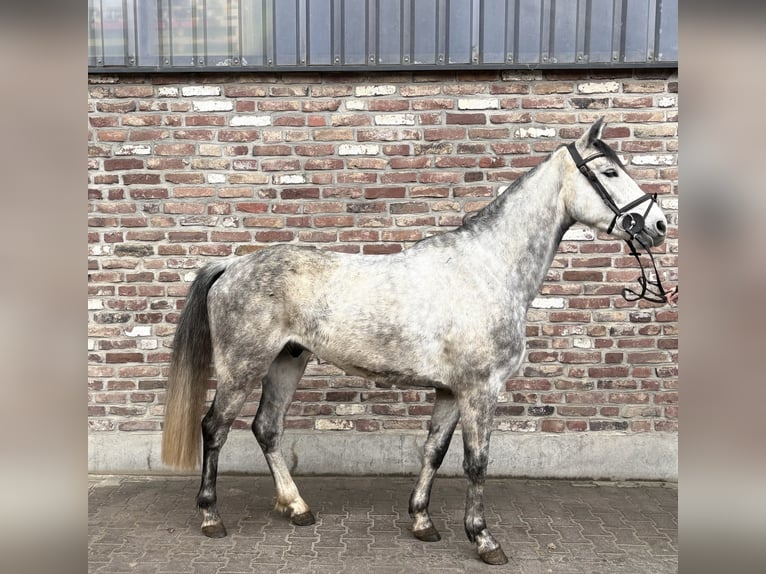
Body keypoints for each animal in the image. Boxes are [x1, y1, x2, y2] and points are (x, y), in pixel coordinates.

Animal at [161, 118, 668, 565]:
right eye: (609, 172)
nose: (658, 224)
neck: (488, 269)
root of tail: (232, 265)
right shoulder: (480, 390)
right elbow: (477, 461)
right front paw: (483, 539)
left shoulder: (450, 390)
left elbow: (434, 452)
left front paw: (422, 521)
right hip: (243, 366)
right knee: (215, 428)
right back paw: (211, 517)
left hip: (287, 361)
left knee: (267, 428)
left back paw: (297, 508)